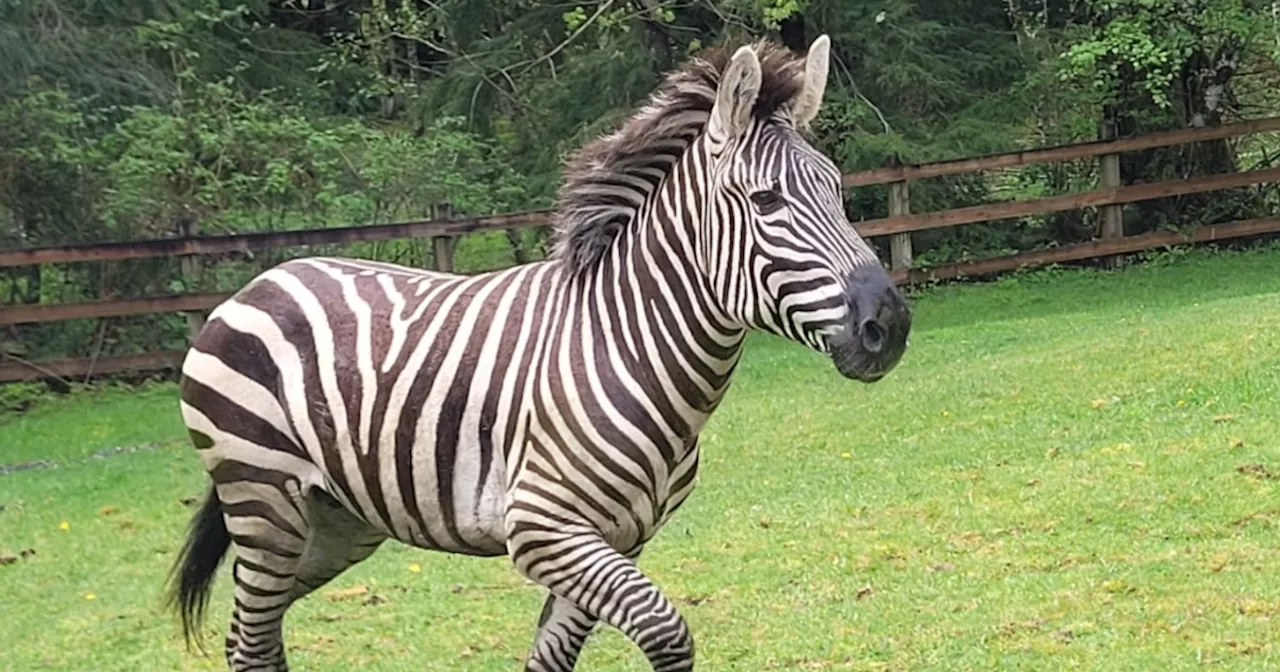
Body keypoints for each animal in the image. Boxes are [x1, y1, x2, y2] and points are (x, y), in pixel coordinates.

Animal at [167, 36, 911, 670]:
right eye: (766, 201)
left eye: (837, 189)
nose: (891, 324)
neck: (631, 348)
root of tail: (260, 281)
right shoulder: (543, 528)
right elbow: (668, 632)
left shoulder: (615, 536)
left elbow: (553, 657)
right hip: (263, 499)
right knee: (251, 640)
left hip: (334, 523)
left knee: (252, 634)